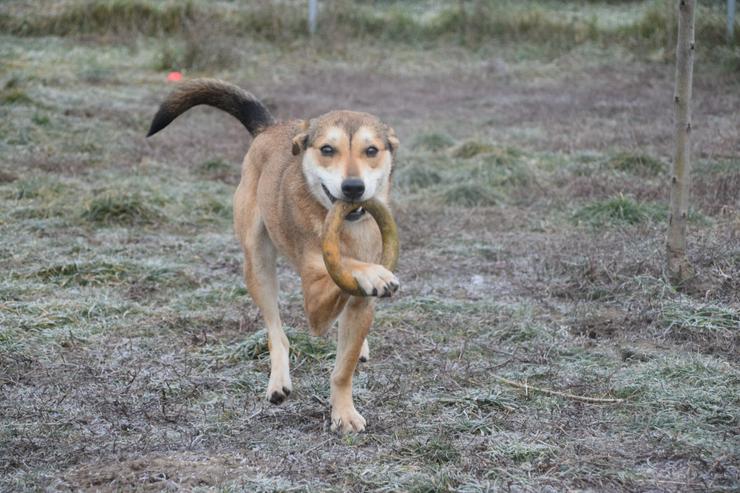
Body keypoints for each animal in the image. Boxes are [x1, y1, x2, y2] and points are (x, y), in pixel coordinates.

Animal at [145, 79, 398, 432]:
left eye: (371, 150)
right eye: (327, 150)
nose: (352, 188)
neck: (348, 230)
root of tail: (269, 127)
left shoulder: (361, 307)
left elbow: (343, 369)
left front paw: (344, 412)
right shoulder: (315, 301)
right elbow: (344, 272)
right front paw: (371, 272)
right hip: (257, 263)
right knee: (277, 333)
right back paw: (278, 381)